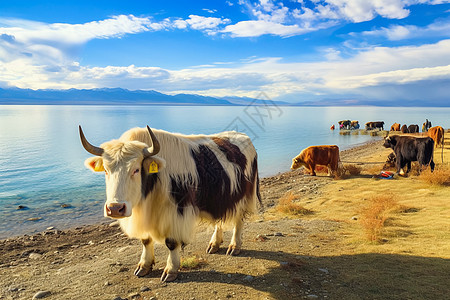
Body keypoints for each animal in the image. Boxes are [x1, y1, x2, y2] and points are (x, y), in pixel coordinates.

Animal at [79, 125, 258, 282]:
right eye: (106, 170)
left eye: (136, 169)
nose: (115, 208)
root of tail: (245, 138)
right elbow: (145, 240)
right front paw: (144, 266)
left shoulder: (176, 213)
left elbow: (171, 243)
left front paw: (170, 270)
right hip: (218, 198)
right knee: (219, 220)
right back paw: (214, 244)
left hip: (244, 196)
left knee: (239, 221)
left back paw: (234, 247)